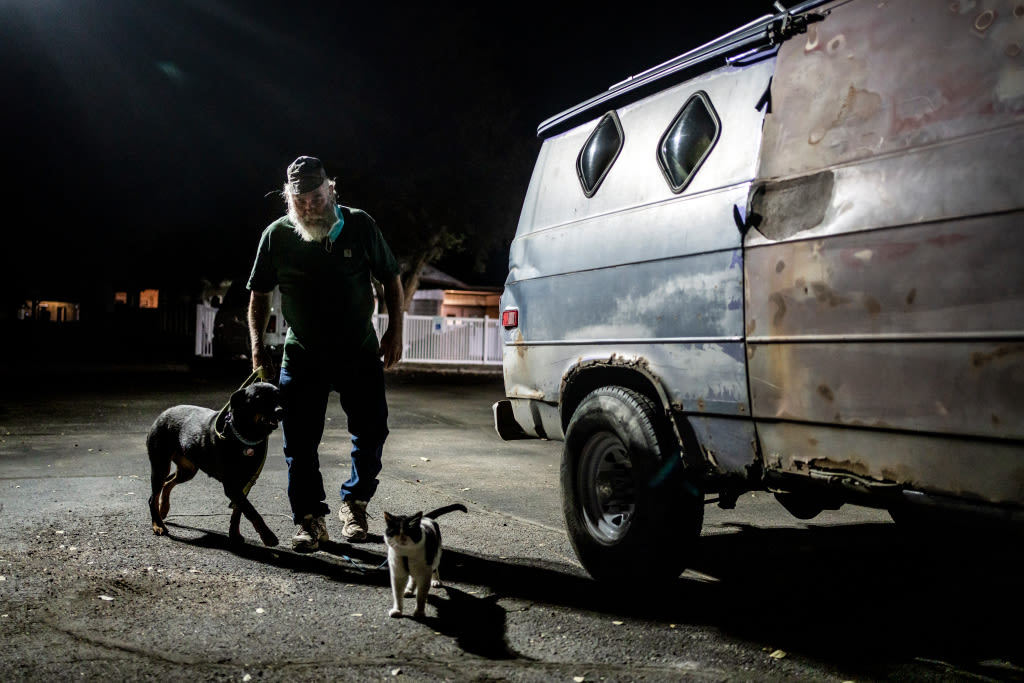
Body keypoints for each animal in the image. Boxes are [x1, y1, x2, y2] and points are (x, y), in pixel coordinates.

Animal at [148, 378, 284, 544]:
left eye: (279, 397)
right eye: (259, 398)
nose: (280, 411)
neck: (246, 436)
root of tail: (162, 414)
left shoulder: (246, 482)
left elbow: (239, 510)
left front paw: (234, 533)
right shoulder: (231, 486)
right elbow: (251, 511)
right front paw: (268, 535)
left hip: (188, 470)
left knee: (167, 483)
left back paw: (164, 509)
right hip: (160, 466)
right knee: (153, 497)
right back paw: (157, 524)